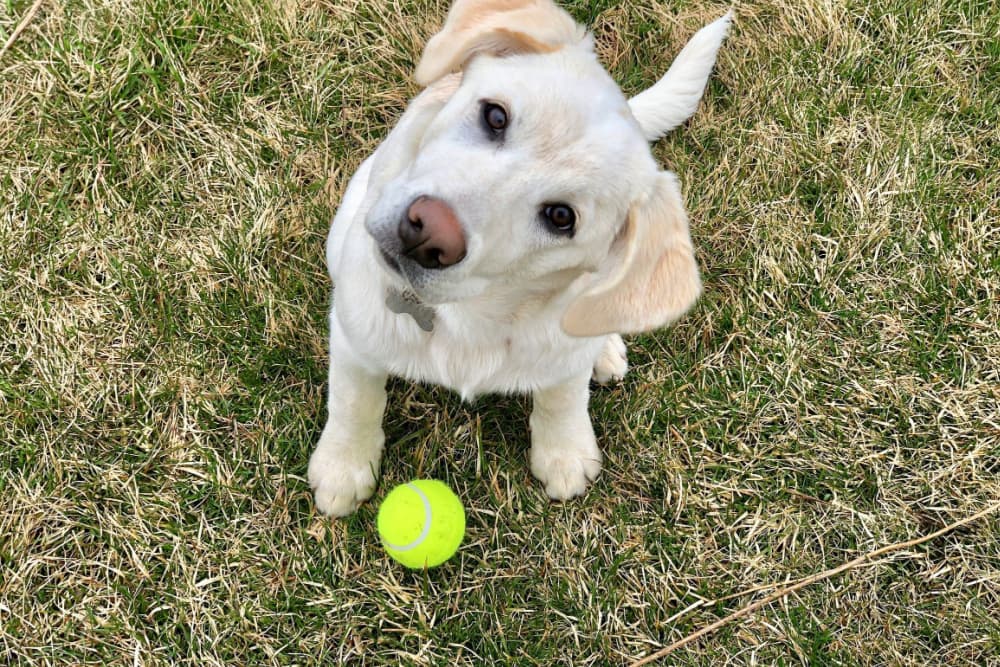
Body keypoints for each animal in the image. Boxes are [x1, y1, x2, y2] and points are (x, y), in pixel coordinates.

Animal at [308, 0, 732, 516]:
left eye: (561, 217)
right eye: (495, 116)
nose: (427, 234)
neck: (472, 317)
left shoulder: (562, 359)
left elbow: (562, 399)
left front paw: (565, 454)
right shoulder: (355, 336)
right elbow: (354, 401)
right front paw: (343, 467)